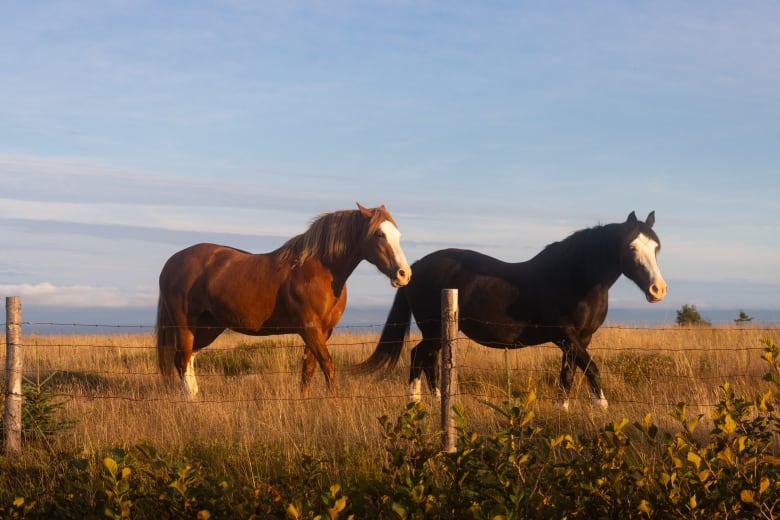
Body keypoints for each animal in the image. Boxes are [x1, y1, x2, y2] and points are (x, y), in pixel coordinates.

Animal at [155, 203, 412, 398]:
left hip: (209, 327)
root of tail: (171, 263)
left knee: (189, 359)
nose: (404, 274)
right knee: (181, 360)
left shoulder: (322, 332)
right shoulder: (310, 329)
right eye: (379, 234)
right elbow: (328, 366)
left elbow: (308, 370)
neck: (319, 270)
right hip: (185, 326)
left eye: (398, 235)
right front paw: (333, 403)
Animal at [354, 211, 664, 410]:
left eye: (656, 247)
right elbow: (591, 368)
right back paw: (415, 401)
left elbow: (569, 374)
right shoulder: (565, 334)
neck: (575, 278)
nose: (658, 290)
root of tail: (415, 268)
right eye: (631, 246)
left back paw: (434, 400)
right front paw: (602, 407)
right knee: (418, 355)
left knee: (427, 359)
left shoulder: (579, 339)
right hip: (432, 329)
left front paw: (561, 409)